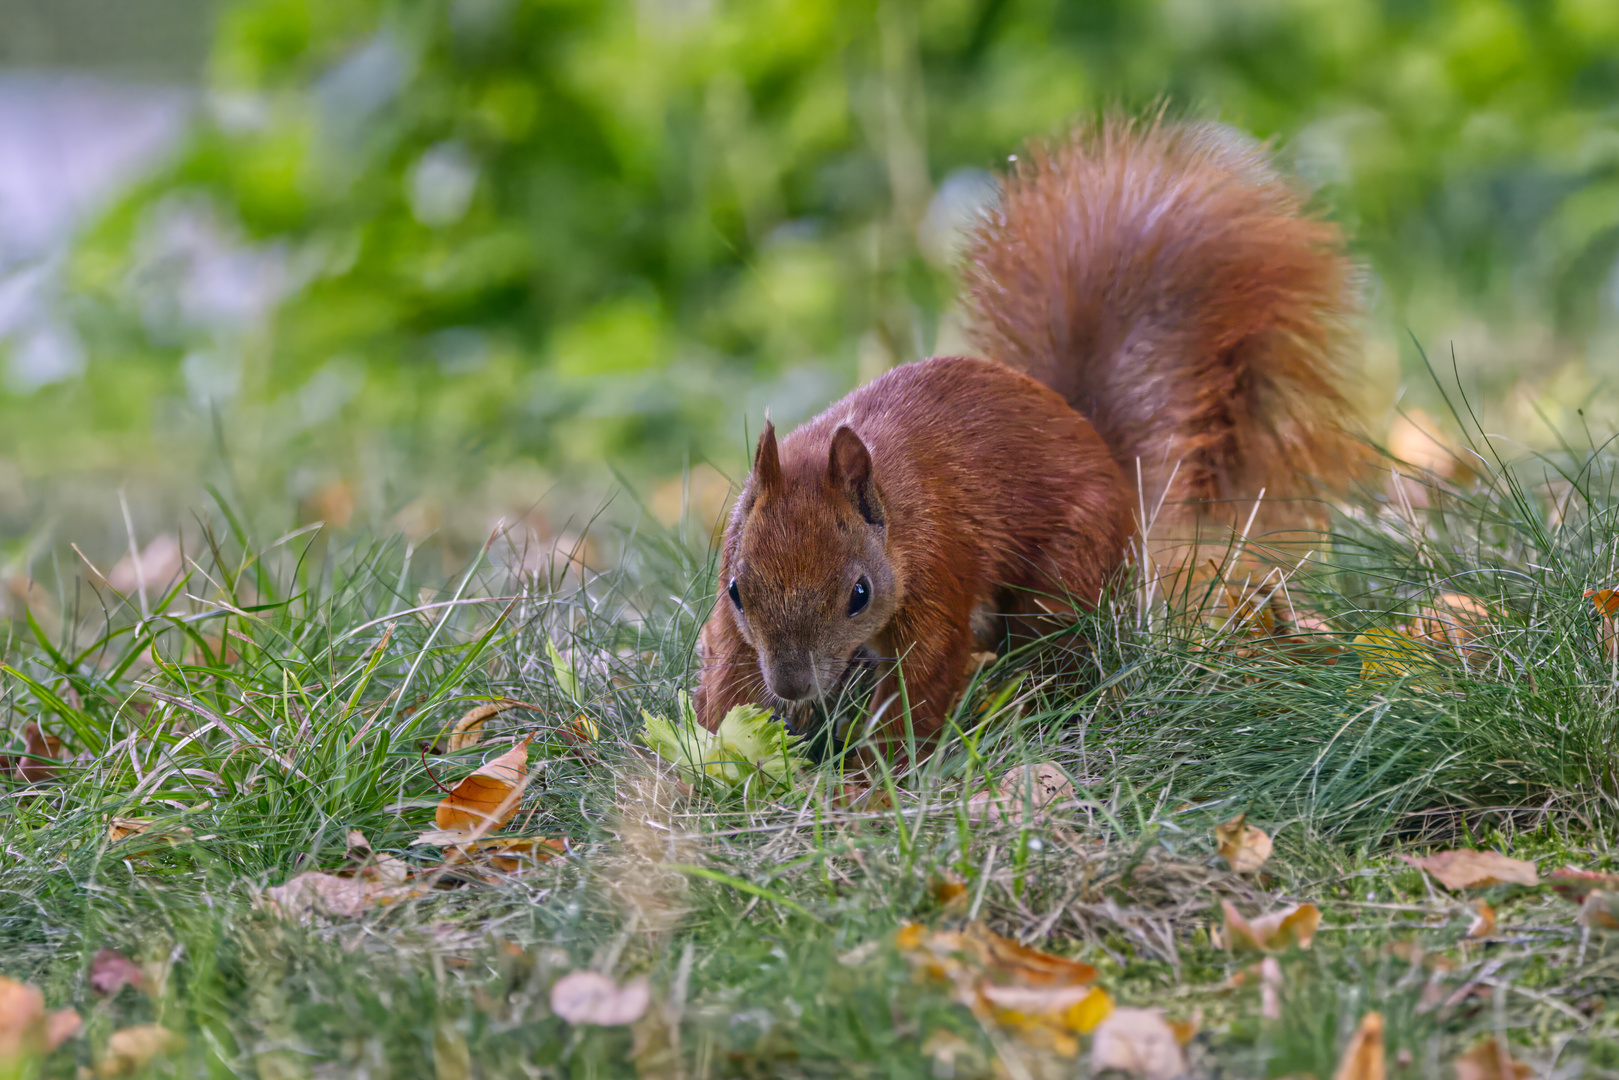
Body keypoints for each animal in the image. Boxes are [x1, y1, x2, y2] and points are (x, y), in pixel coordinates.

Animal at [696, 114, 1366, 748]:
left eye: (860, 593)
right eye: (735, 589)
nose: (792, 686)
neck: (892, 506)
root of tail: (1108, 463)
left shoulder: (940, 564)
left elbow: (922, 677)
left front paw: (873, 777)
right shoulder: (734, 597)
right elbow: (728, 666)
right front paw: (717, 750)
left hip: (1070, 566)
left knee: (1054, 645)